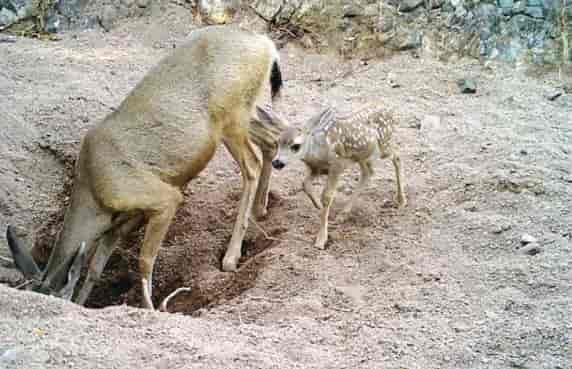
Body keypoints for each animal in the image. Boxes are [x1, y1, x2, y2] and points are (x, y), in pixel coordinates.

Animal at [3, 24, 288, 310]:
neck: (93, 191)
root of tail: (266, 44)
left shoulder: (161, 198)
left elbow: (145, 259)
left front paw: (151, 307)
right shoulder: (122, 222)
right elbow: (95, 267)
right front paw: (85, 301)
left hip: (232, 115)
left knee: (251, 165)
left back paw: (231, 257)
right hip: (243, 115)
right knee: (271, 139)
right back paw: (261, 208)